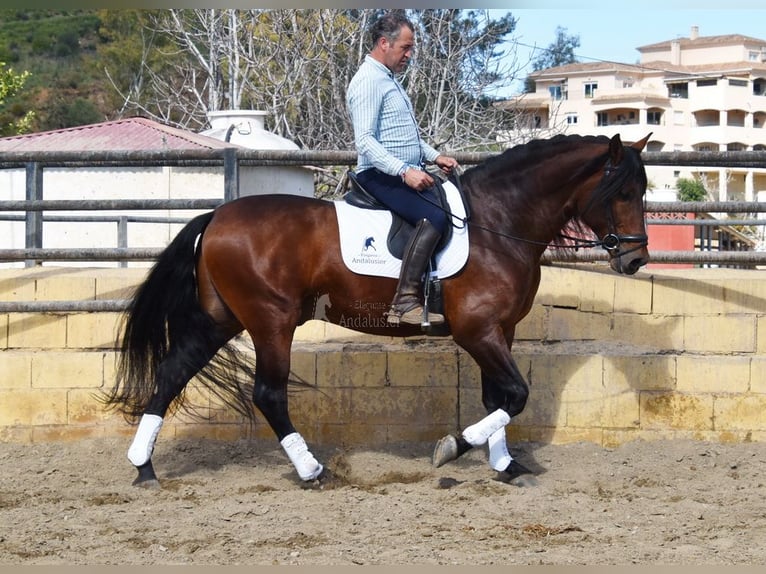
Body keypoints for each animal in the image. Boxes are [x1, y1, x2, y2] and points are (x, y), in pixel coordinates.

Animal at [103, 133, 656, 488]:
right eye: (623, 191)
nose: (635, 260)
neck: (499, 223)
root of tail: (217, 216)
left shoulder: (500, 330)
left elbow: (497, 396)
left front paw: (504, 466)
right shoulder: (477, 330)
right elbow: (516, 395)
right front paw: (452, 448)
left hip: (220, 319)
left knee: (172, 373)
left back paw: (143, 468)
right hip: (270, 320)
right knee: (268, 394)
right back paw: (311, 472)